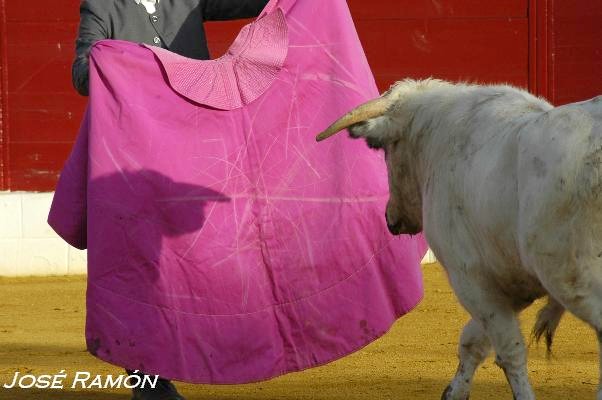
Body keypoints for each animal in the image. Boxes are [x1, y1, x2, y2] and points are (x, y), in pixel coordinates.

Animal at [316, 79, 596, 400]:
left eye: (386, 151)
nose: (389, 218)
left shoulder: (470, 278)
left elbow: (508, 350)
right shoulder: (511, 284)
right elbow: (473, 341)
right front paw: (453, 392)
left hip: (577, 281)